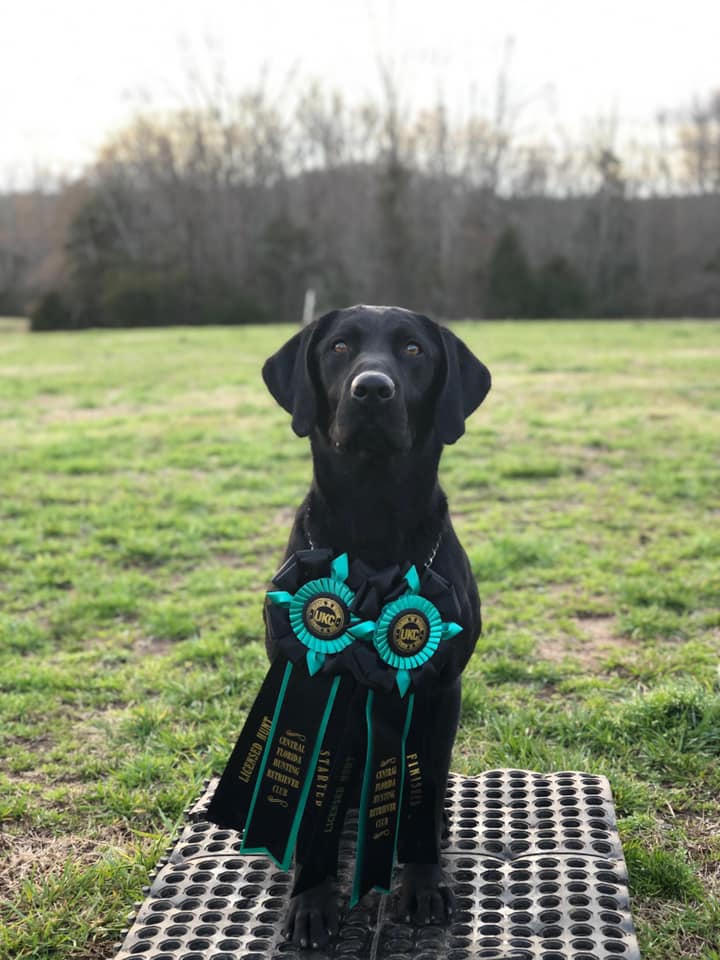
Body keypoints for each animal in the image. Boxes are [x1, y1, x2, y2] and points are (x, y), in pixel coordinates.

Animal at [262, 304, 492, 948]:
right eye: (339, 347)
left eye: (414, 350)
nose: (372, 389)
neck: (374, 524)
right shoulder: (311, 683)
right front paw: (311, 899)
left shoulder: (439, 690)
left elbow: (421, 796)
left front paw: (421, 886)